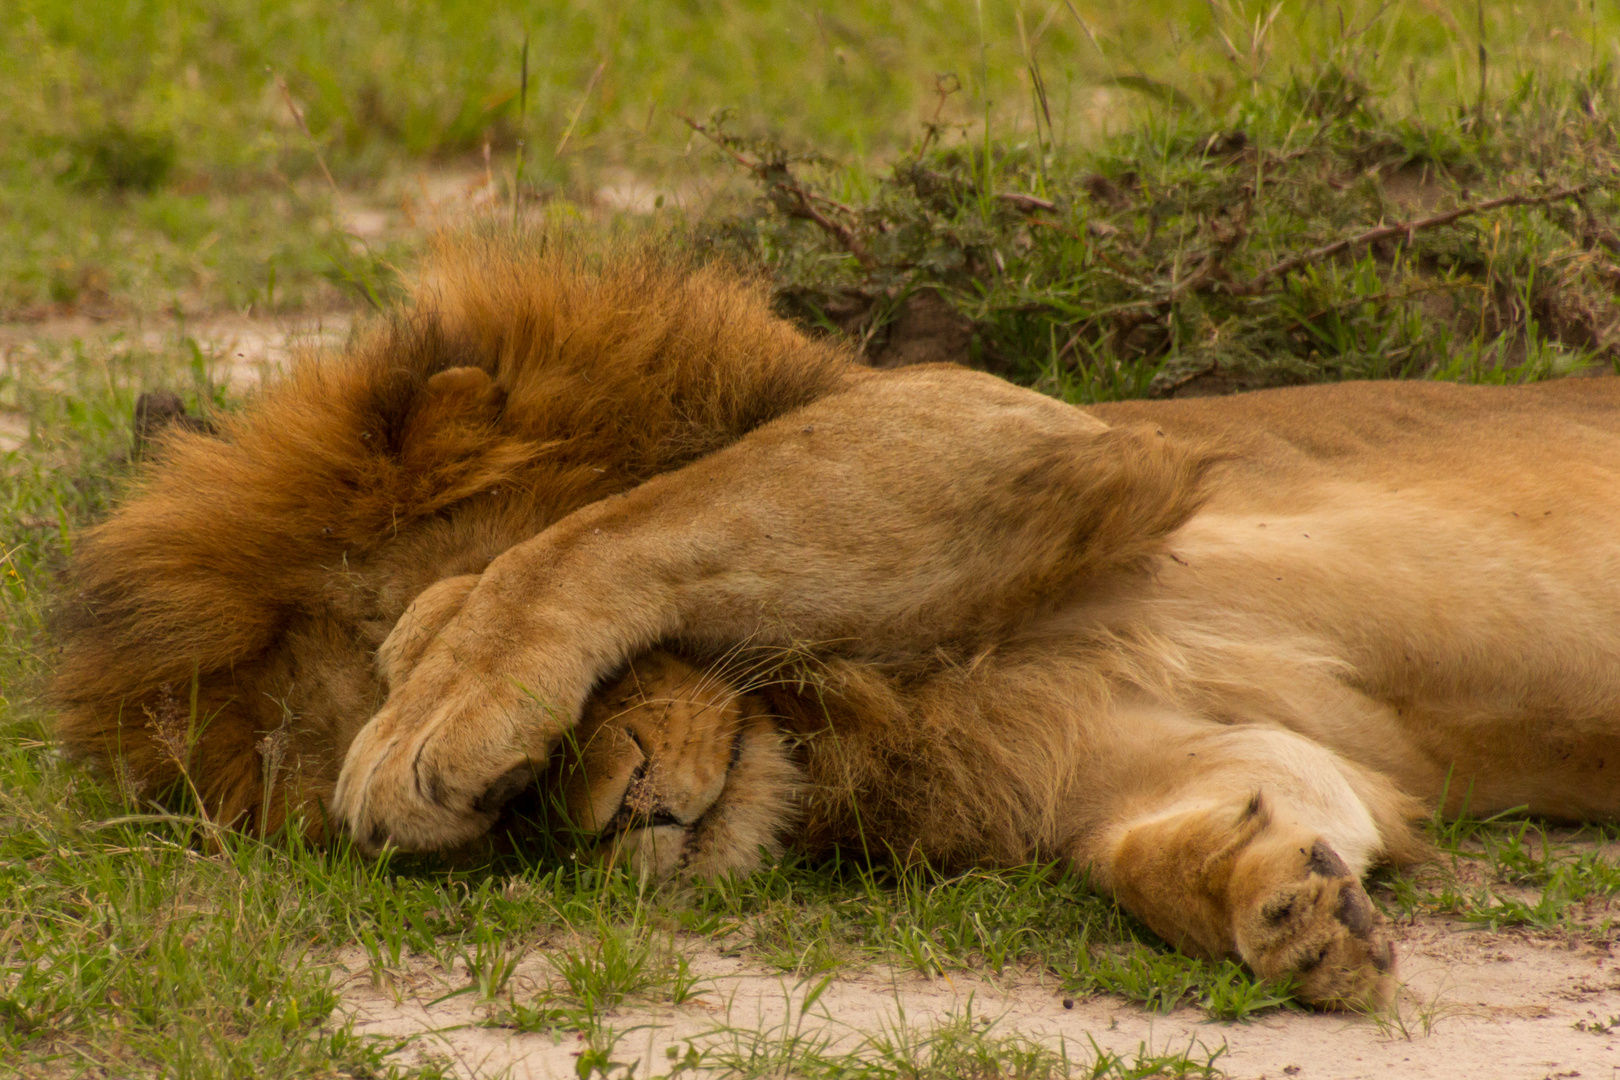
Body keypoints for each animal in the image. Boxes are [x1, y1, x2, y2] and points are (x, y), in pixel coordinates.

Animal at [57, 234, 1620, 1016]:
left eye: (522, 776)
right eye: (508, 831)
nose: (615, 823)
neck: (843, 701)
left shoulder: (1019, 432)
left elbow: (641, 518)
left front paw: (432, 695)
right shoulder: (1149, 739)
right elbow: (1194, 830)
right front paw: (1287, 903)